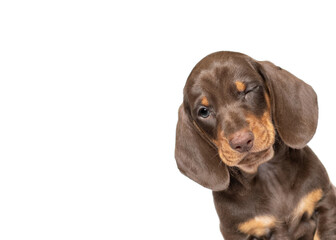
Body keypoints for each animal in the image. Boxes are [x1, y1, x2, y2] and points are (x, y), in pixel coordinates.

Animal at [176, 51, 336, 239]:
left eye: (248, 90)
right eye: (204, 111)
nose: (241, 142)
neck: (269, 174)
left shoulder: (325, 202)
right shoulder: (237, 232)